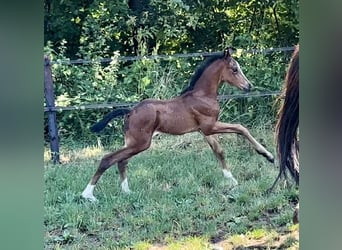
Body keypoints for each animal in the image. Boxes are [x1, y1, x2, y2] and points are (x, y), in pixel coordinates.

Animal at [82, 47, 276, 202]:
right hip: (141, 143)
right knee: (108, 159)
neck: (202, 95)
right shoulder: (210, 126)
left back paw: (127, 191)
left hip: (133, 143)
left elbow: (219, 151)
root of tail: (130, 111)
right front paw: (268, 155)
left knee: (122, 161)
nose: (249, 86)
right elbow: (241, 128)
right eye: (235, 69)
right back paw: (88, 195)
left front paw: (231, 180)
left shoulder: (204, 131)